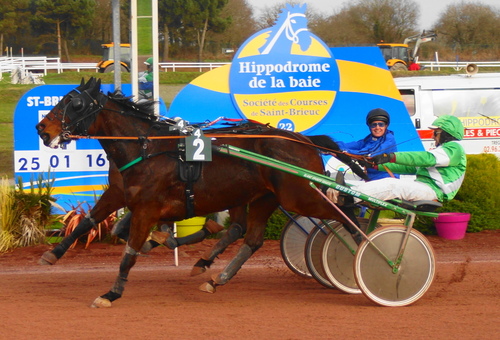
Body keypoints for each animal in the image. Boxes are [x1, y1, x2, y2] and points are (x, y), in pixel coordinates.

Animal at [34, 78, 364, 306]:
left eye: (74, 104)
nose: (42, 129)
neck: (146, 149)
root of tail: (305, 140)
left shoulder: (146, 209)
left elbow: (129, 253)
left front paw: (111, 293)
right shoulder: (119, 194)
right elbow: (91, 223)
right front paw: (53, 253)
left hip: (301, 195)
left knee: (344, 214)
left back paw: (365, 249)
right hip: (262, 198)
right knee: (251, 238)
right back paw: (215, 278)